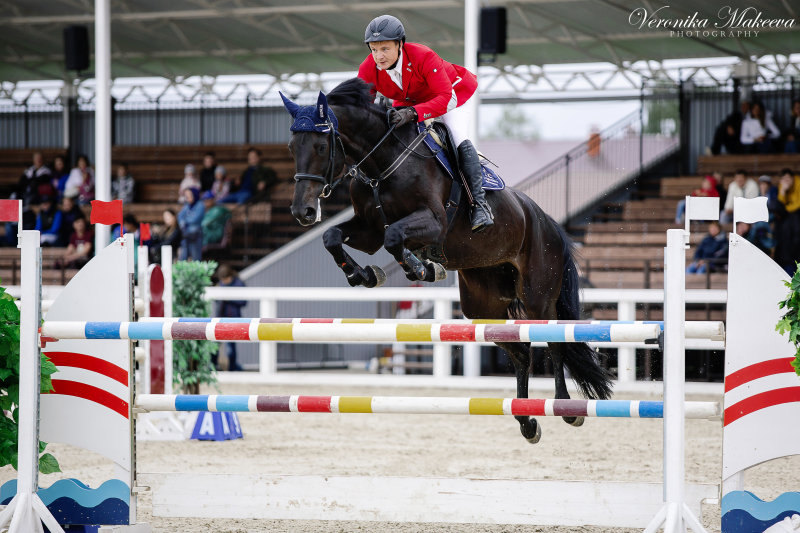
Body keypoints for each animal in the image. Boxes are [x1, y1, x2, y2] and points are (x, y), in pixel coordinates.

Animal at [282, 79, 612, 442]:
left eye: (320, 147)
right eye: (291, 147)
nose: (302, 212)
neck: (382, 165)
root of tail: (547, 220)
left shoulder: (433, 222)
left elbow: (394, 237)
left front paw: (421, 267)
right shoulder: (368, 231)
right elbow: (334, 237)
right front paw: (364, 275)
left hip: (538, 295)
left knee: (555, 342)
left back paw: (565, 407)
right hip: (484, 305)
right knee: (520, 352)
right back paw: (527, 420)